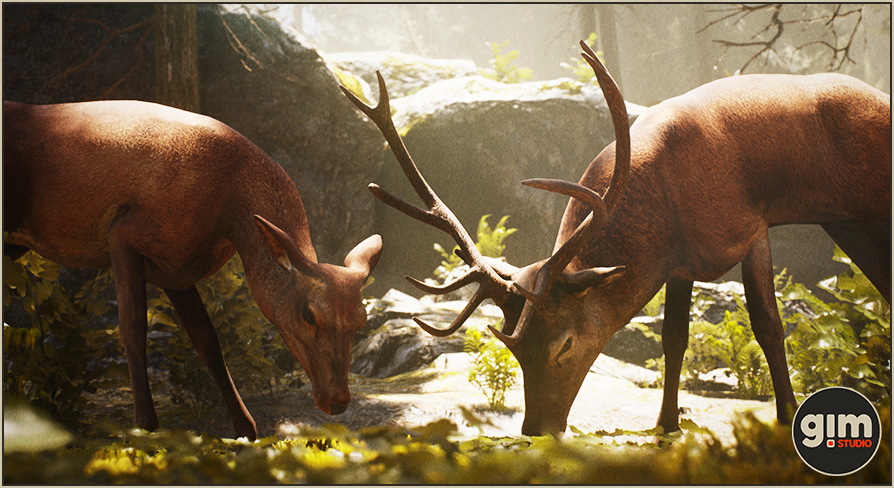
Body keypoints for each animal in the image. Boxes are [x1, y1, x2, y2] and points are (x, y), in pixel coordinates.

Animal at [3, 99, 383, 440]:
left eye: (361, 322)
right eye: (309, 314)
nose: (337, 401)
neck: (227, 213)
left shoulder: (174, 267)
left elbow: (206, 337)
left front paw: (246, 430)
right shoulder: (125, 230)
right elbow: (133, 326)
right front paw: (145, 427)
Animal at [342, 41, 891, 436]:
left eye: (564, 344)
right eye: (515, 350)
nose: (535, 429)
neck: (666, 213)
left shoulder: (749, 228)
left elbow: (769, 326)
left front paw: (784, 415)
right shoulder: (681, 263)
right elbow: (673, 338)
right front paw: (665, 424)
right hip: (850, 221)